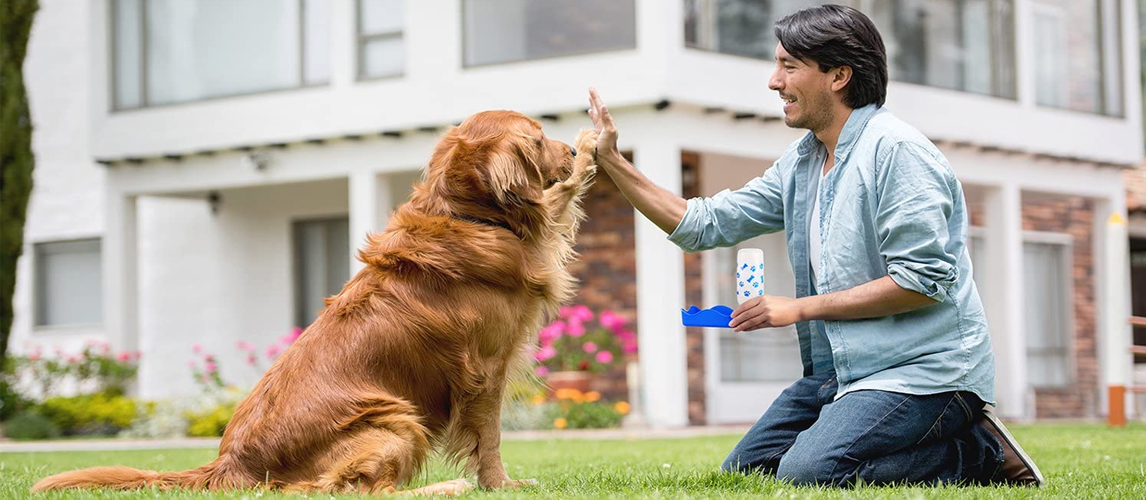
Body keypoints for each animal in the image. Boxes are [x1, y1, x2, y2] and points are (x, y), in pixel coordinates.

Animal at [33, 110, 600, 495]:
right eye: (537, 137)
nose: (569, 151)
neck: (465, 216)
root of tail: (231, 463)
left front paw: (591, 146)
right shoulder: (485, 369)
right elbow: (490, 438)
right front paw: (498, 484)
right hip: (395, 420)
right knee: (350, 490)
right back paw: (445, 488)